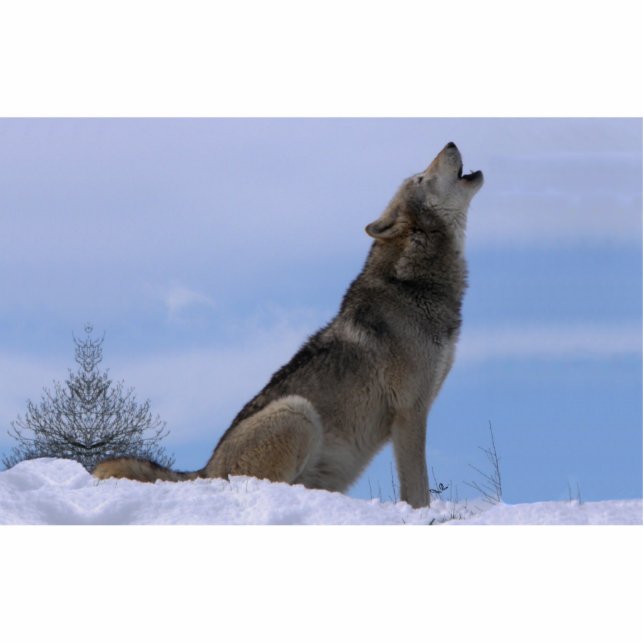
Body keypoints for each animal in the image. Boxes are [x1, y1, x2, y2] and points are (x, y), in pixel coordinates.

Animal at [93, 142, 483, 508]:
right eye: (420, 178)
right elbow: (417, 489)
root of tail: (204, 471)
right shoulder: (409, 411)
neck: (414, 284)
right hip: (298, 411)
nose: (450, 142)